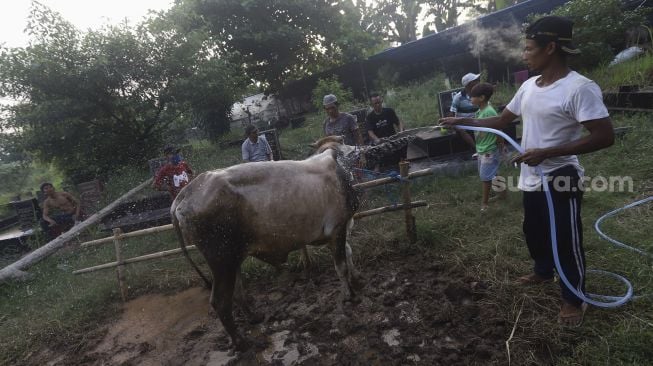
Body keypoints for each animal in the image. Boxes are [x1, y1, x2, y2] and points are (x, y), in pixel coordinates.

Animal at [172, 136, 362, 350]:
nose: (357, 151)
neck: (339, 171)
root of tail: (186, 192)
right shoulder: (338, 228)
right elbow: (341, 266)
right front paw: (350, 295)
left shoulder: (340, 230)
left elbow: (348, 253)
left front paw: (356, 278)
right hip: (222, 260)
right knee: (220, 301)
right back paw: (241, 341)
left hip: (232, 258)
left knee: (237, 292)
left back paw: (253, 317)